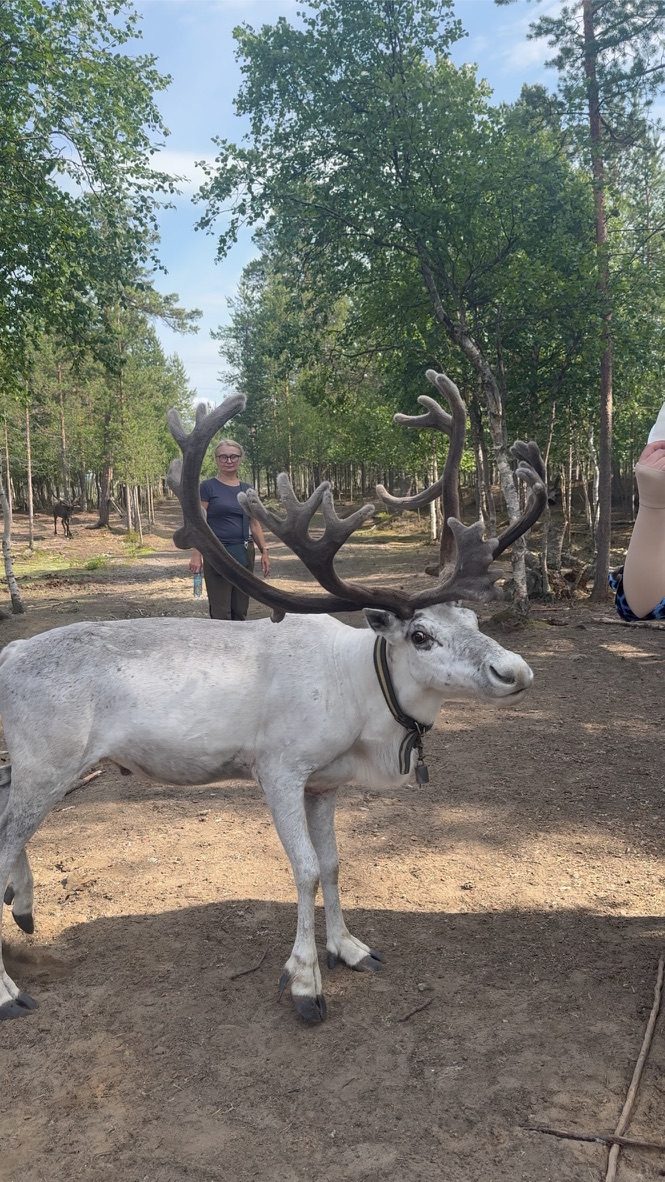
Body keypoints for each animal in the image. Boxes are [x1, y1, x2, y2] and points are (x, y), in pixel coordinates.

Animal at [0, 370, 547, 1024]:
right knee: (3, 841)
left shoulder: (325, 783)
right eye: (420, 634)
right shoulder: (279, 768)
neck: (360, 697)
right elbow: (305, 867)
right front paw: (306, 980)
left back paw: (22, 905)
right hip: (48, 763)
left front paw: (349, 948)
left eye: (471, 616)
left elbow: (333, 862)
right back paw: (8, 991)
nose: (514, 670)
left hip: (27, 764)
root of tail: (7, 655)